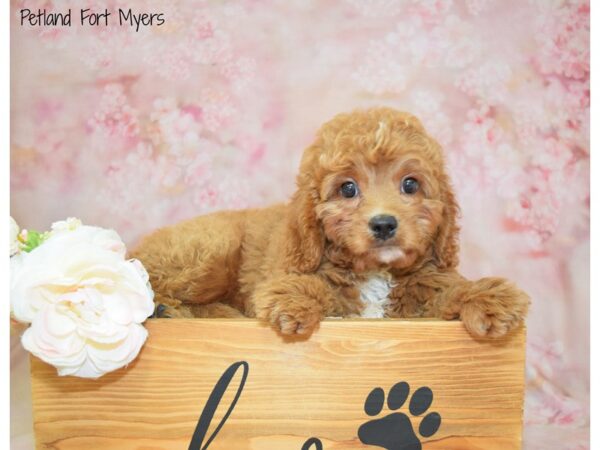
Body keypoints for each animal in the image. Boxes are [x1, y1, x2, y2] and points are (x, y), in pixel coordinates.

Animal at [131, 106, 528, 338]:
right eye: (347, 188)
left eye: (410, 184)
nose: (384, 224)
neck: (375, 273)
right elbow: (314, 289)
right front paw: (296, 302)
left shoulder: (425, 287)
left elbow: (447, 290)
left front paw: (489, 298)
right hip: (211, 248)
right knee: (153, 287)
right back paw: (181, 311)